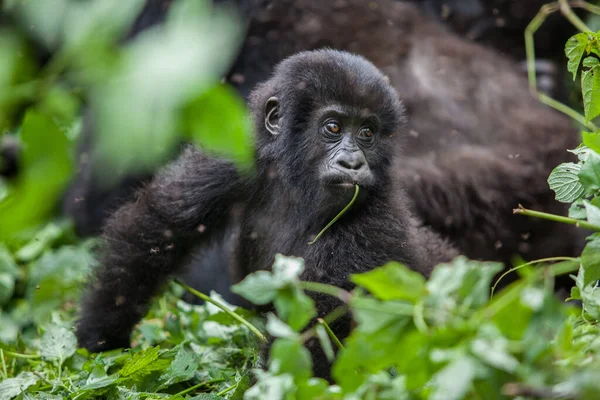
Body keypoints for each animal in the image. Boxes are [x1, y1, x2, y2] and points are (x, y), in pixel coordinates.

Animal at [76, 48, 454, 376]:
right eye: (333, 127)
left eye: (367, 133)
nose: (352, 162)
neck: (296, 185)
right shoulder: (241, 154)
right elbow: (161, 225)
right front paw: (100, 335)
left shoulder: (373, 221)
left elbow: (317, 332)